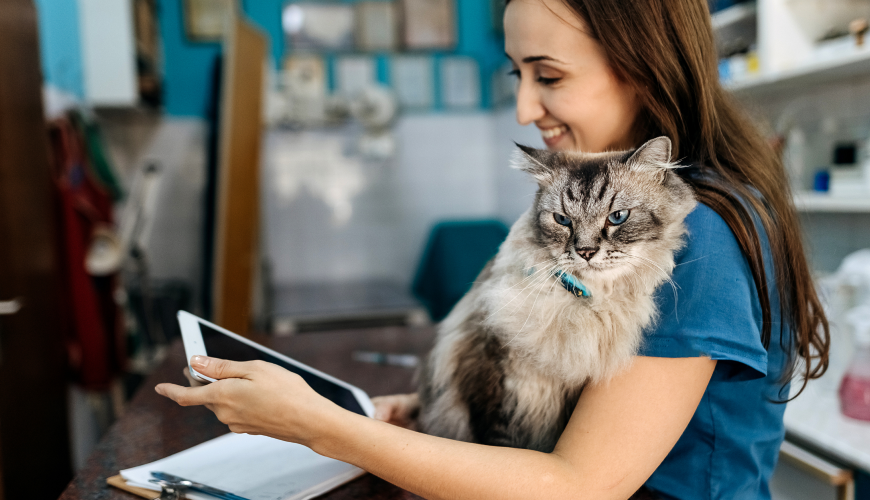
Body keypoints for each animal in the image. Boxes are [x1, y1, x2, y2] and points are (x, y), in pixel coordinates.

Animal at [418, 137, 700, 454]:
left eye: (617, 217)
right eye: (563, 220)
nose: (586, 252)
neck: (583, 305)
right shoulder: (493, 375)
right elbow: (499, 445)